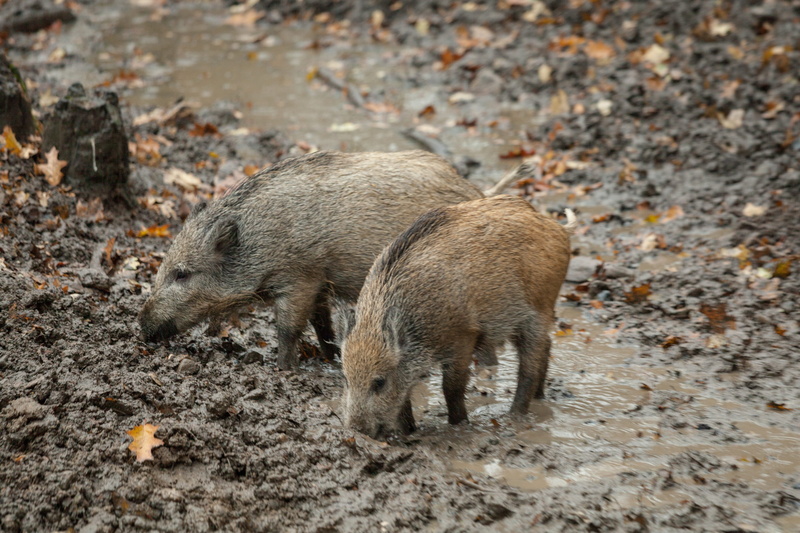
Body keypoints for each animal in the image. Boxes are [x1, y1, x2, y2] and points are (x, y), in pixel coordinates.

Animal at [138, 150, 523, 370]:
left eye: (182, 274)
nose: (141, 328)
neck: (259, 237)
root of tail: (478, 192)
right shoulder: (320, 280)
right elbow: (321, 323)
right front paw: (330, 358)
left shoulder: (300, 275)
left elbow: (289, 327)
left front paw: (283, 369)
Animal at [339, 195, 575, 438]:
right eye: (345, 378)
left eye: (379, 382)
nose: (355, 430)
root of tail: (558, 228)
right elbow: (405, 396)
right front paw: (409, 432)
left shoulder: (464, 337)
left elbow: (450, 387)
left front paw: (459, 425)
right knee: (546, 346)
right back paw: (540, 398)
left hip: (539, 310)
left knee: (529, 367)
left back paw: (514, 417)